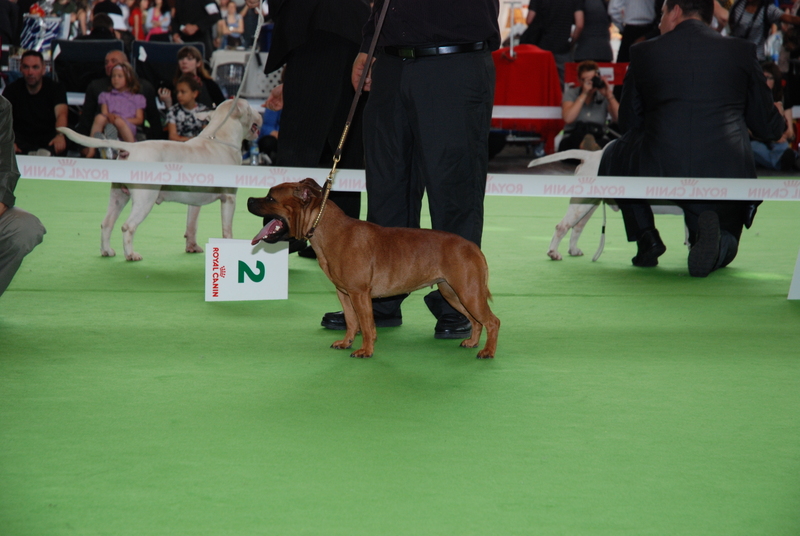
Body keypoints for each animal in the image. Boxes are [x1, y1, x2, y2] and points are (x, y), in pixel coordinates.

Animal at [58, 100, 262, 262]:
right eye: (250, 108)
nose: (261, 114)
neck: (220, 138)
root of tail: (130, 148)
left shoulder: (195, 201)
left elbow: (192, 225)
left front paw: (192, 247)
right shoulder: (229, 199)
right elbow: (227, 229)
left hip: (118, 195)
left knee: (107, 223)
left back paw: (107, 251)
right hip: (145, 198)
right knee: (127, 227)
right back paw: (131, 255)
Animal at [250, 178, 500, 358]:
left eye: (270, 198)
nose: (249, 199)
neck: (327, 229)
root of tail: (472, 246)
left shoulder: (359, 294)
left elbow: (367, 325)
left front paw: (366, 351)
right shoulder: (344, 294)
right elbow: (352, 322)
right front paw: (346, 343)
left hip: (468, 293)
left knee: (491, 321)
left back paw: (487, 352)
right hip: (453, 293)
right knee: (476, 320)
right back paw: (472, 342)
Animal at [528, 149, 684, 262]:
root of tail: (591, 155)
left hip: (590, 205)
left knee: (577, 227)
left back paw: (573, 250)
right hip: (582, 204)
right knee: (562, 226)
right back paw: (553, 253)